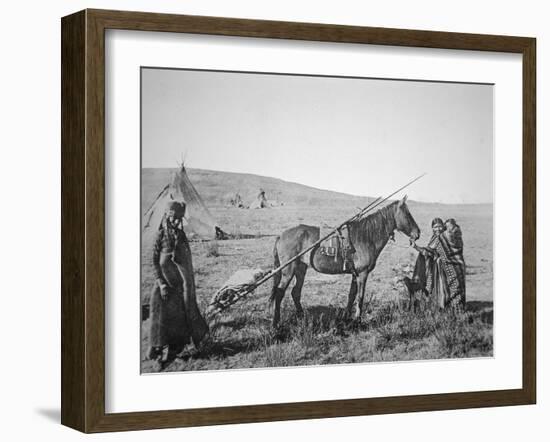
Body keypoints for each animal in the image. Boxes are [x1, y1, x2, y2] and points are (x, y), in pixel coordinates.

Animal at [270, 195, 420, 326]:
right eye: (407, 214)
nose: (417, 233)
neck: (366, 236)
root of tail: (281, 235)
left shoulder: (355, 274)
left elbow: (351, 295)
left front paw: (347, 317)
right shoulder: (363, 273)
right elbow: (360, 296)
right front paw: (358, 320)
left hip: (301, 268)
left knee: (295, 292)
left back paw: (302, 316)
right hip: (288, 270)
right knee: (280, 292)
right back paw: (276, 323)